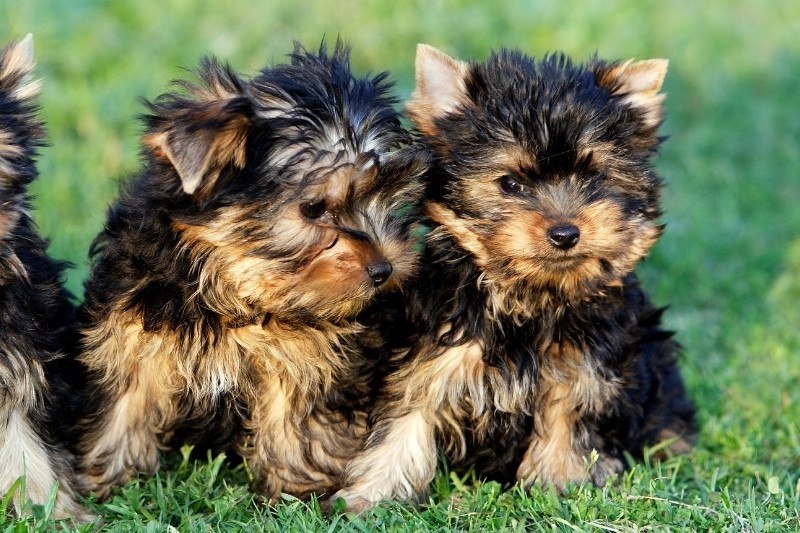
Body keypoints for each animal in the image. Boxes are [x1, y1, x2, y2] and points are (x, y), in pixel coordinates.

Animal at [75, 42, 428, 502]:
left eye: (387, 196)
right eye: (313, 208)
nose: (384, 268)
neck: (232, 293)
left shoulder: (306, 357)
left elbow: (296, 422)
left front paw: (296, 492)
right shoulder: (134, 337)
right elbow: (123, 407)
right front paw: (105, 484)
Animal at [334, 43, 696, 510]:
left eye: (593, 177)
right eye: (510, 184)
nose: (565, 233)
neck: (529, 294)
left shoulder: (583, 366)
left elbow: (567, 421)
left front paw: (560, 485)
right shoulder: (430, 355)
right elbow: (402, 423)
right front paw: (370, 498)